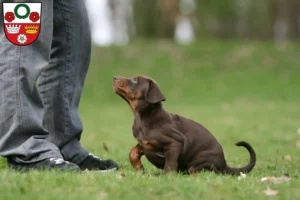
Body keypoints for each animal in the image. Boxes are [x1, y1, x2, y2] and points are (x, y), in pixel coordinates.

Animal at [112, 76, 255, 174]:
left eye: (135, 80)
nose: (114, 77)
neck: (143, 118)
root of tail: (224, 164)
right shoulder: (143, 143)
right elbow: (132, 152)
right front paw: (138, 167)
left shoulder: (175, 143)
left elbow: (170, 165)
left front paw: (167, 176)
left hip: (201, 161)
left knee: (197, 171)